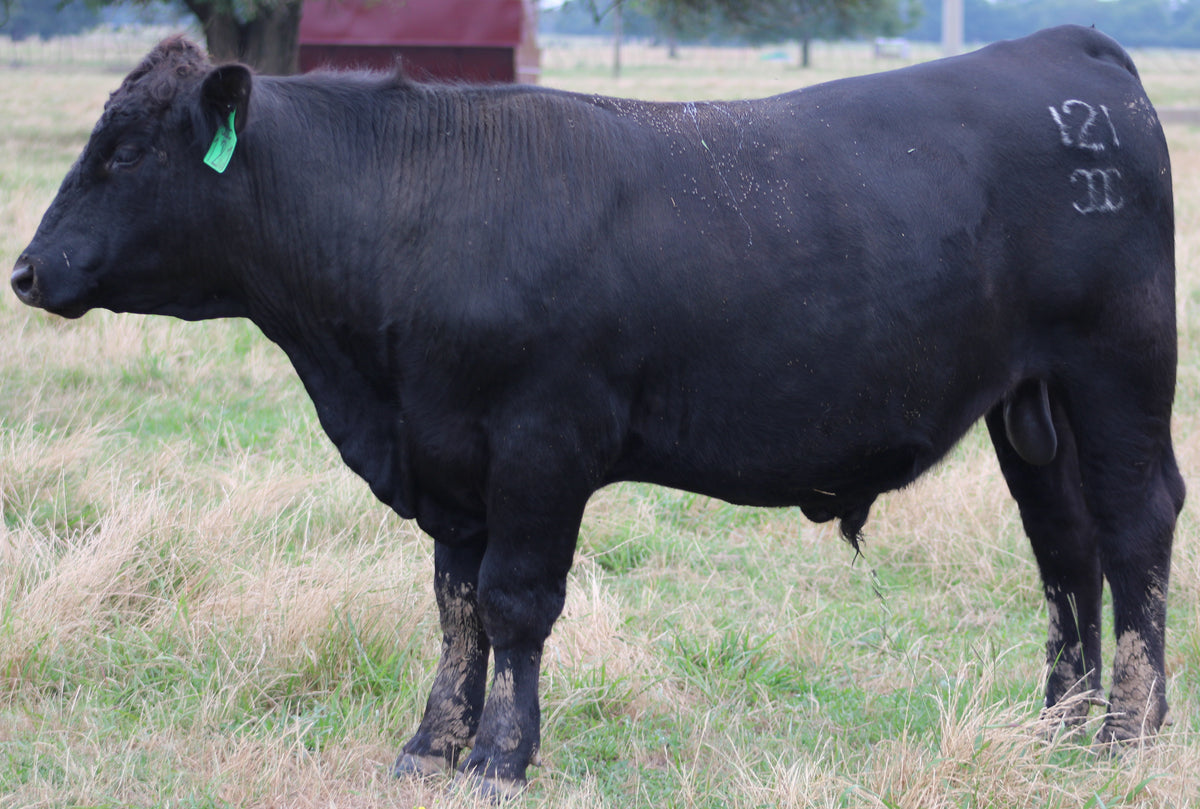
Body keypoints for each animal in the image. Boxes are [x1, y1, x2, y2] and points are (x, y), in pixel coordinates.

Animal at [14, 23, 1185, 792]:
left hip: (1118, 370)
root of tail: (1068, 51)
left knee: (1135, 527)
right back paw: (1056, 727)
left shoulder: (542, 443)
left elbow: (517, 602)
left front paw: (499, 756)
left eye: (125, 150)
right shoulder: (449, 457)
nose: (25, 270)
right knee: (1063, 548)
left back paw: (1131, 731)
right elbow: (457, 605)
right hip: (1031, 404)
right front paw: (429, 747)